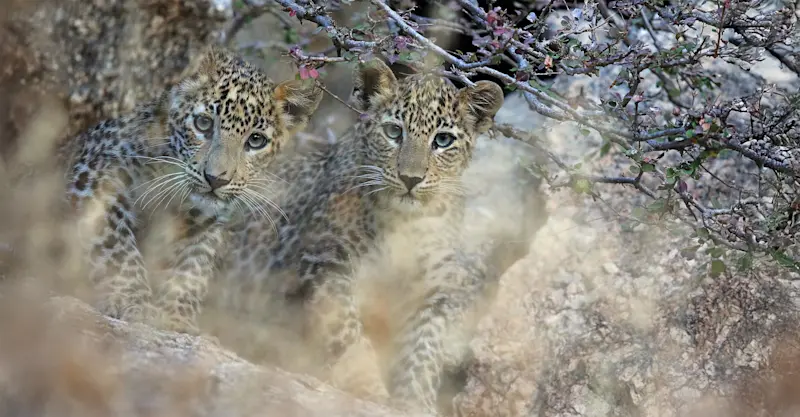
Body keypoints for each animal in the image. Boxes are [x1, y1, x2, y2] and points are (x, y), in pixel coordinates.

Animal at [62, 45, 323, 335]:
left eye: (256, 140)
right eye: (203, 123)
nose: (216, 179)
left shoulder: (205, 221)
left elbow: (193, 267)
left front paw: (177, 317)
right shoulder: (95, 176)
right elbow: (118, 249)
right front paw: (133, 301)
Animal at [216, 57, 505, 414]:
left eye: (443, 141)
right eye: (394, 132)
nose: (410, 179)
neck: (405, 224)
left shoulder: (431, 291)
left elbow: (424, 350)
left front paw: (417, 402)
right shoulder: (324, 260)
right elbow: (345, 328)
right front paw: (367, 386)